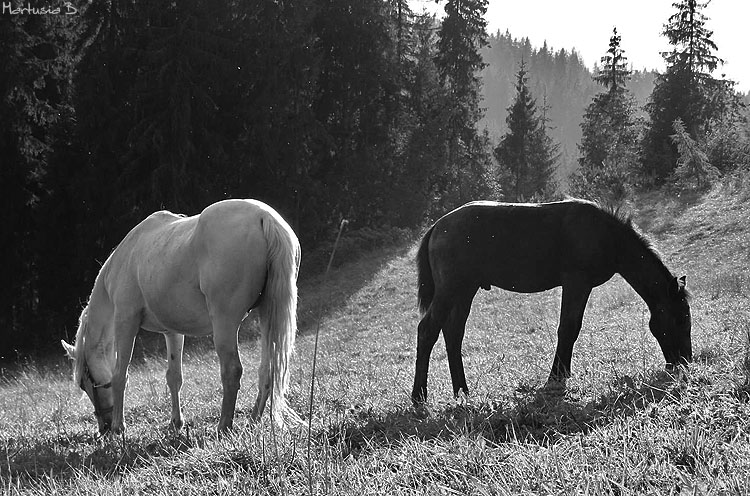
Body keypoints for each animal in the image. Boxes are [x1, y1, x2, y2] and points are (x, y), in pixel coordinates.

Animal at [61, 199, 302, 434]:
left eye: (84, 381)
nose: (104, 426)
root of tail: (264, 217)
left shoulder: (126, 322)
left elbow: (120, 374)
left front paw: (119, 427)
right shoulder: (172, 332)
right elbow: (174, 377)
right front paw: (176, 423)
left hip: (224, 322)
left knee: (232, 370)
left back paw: (224, 426)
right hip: (267, 314)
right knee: (268, 369)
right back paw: (252, 421)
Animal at [414, 198, 696, 404]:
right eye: (681, 319)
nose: (685, 362)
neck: (607, 236)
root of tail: (436, 227)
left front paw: (561, 374)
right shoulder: (576, 282)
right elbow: (569, 328)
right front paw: (556, 377)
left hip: (464, 291)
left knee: (453, 334)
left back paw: (462, 391)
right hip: (451, 289)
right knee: (427, 330)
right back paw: (419, 397)